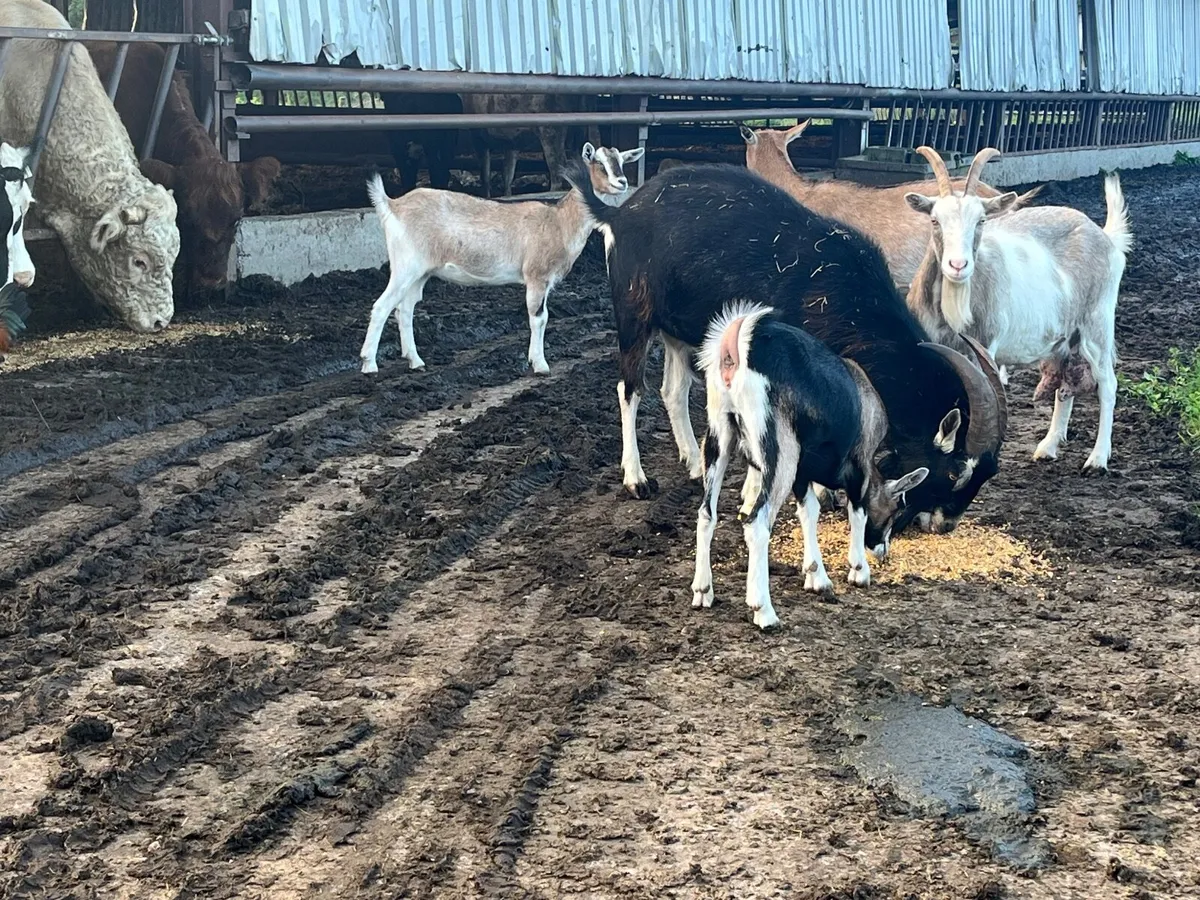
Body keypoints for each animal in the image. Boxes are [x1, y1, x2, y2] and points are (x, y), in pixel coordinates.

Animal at [360, 143, 644, 375]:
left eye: (622, 160)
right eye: (598, 162)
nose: (622, 182)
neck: (558, 222)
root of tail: (392, 205)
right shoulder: (537, 276)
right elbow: (539, 317)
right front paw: (540, 365)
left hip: (421, 272)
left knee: (405, 309)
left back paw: (415, 361)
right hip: (406, 265)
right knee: (382, 306)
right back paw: (369, 364)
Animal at [563, 159, 1007, 536]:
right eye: (956, 472)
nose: (944, 524)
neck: (841, 293)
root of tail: (620, 213)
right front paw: (754, 495)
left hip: (679, 328)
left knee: (673, 390)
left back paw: (693, 464)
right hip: (634, 312)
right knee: (629, 389)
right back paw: (636, 479)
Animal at [692, 301, 929, 629]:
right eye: (896, 508)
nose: (882, 551)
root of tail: (736, 346)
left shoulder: (802, 474)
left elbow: (809, 512)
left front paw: (816, 577)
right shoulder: (858, 463)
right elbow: (857, 511)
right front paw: (859, 571)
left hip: (719, 435)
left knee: (706, 513)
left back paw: (703, 591)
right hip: (779, 449)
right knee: (756, 520)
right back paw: (764, 611)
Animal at [904, 146, 1130, 472]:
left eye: (981, 221)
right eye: (934, 220)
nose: (958, 265)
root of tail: (1104, 235)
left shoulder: (983, 348)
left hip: (1097, 325)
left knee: (1108, 384)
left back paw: (1097, 459)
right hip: (1065, 337)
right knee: (1065, 383)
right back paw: (1048, 447)